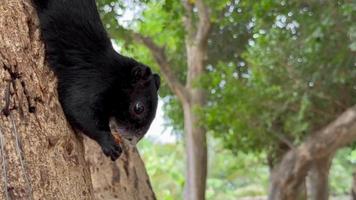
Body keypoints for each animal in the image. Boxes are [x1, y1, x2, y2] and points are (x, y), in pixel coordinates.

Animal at [32, 0, 161, 160]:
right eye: (138, 108)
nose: (132, 140)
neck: (117, 78)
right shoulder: (92, 83)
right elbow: (79, 109)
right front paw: (109, 143)